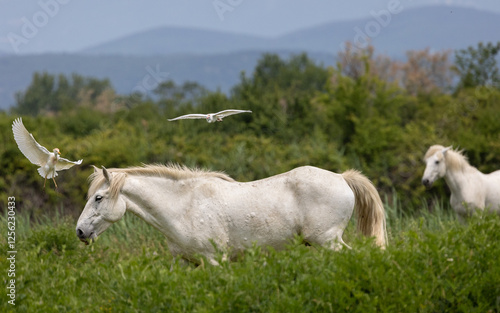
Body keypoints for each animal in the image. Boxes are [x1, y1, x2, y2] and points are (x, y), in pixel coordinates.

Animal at [76, 163, 388, 264]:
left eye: (98, 198)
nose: (79, 231)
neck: (183, 206)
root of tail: (342, 177)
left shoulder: (216, 260)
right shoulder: (185, 263)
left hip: (329, 241)